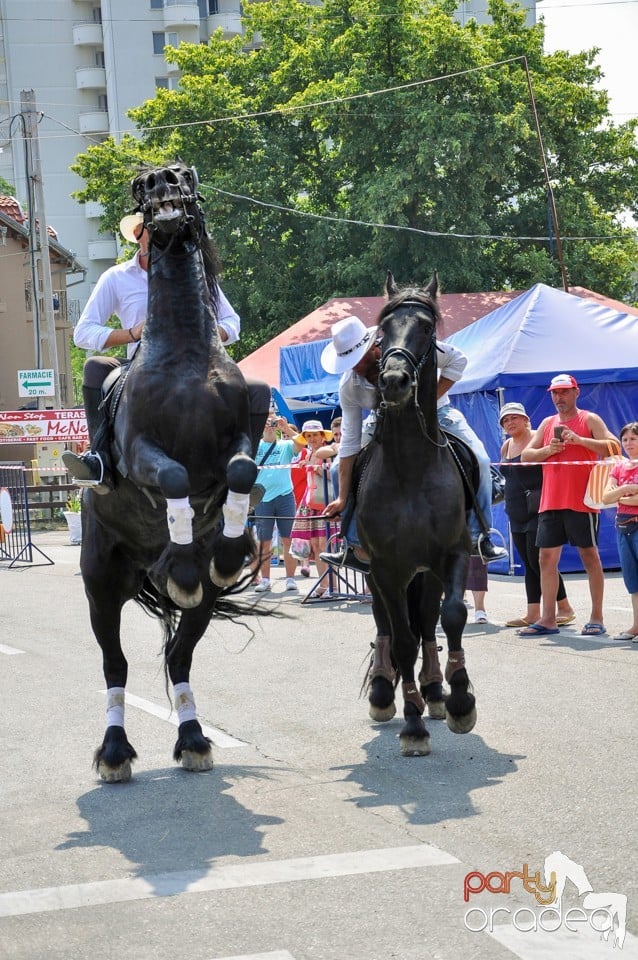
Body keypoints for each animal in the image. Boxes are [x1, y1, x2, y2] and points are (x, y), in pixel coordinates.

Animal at [80, 163, 264, 780]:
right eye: (142, 185)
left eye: (184, 174)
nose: (162, 180)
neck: (184, 354)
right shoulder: (141, 452)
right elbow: (176, 479)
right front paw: (181, 565)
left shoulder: (233, 441)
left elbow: (242, 470)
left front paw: (227, 552)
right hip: (100, 582)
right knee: (114, 666)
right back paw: (114, 752)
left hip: (198, 608)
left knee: (180, 657)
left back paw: (193, 738)